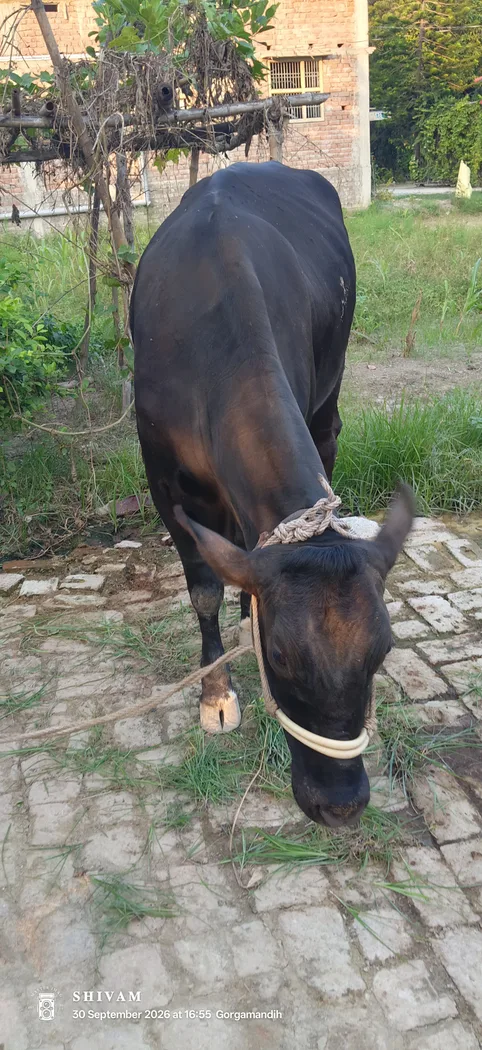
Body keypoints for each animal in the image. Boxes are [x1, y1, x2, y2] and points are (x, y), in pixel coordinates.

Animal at [131, 161, 414, 827]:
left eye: (383, 651)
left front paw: (245, 619)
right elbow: (204, 588)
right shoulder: (162, 478)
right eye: (282, 657)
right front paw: (215, 693)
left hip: (329, 396)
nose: (341, 803)